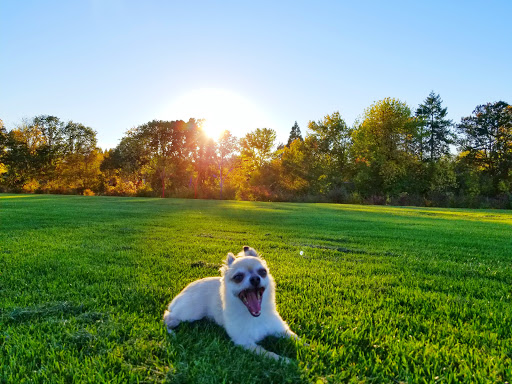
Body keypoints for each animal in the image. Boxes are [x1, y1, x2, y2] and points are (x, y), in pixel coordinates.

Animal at [164, 246, 298, 360]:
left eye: (263, 272)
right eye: (238, 277)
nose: (255, 278)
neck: (254, 316)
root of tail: (183, 290)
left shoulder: (280, 329)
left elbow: (296, 338)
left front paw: (303, 349)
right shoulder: (245, 342)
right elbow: (270, 354)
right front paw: (287, 362)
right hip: (190, 313)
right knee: (168, 315)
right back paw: (171, 328)